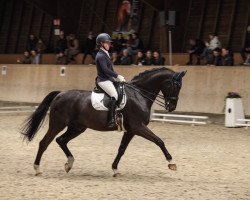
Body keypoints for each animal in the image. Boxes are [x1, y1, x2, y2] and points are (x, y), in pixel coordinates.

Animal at [21, 67, 186, 177]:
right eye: (175, 86)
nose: (172, 107)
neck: (139, 94)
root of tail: (60, 94)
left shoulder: (132, 130)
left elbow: (121, 149)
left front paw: (115, 169)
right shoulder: (139, 127)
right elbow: (159, 141)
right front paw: (171, 163)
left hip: (77, 127)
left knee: (61, 140)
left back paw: (69, 163)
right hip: (58, 124)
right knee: (44, 142)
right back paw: (37, 169)